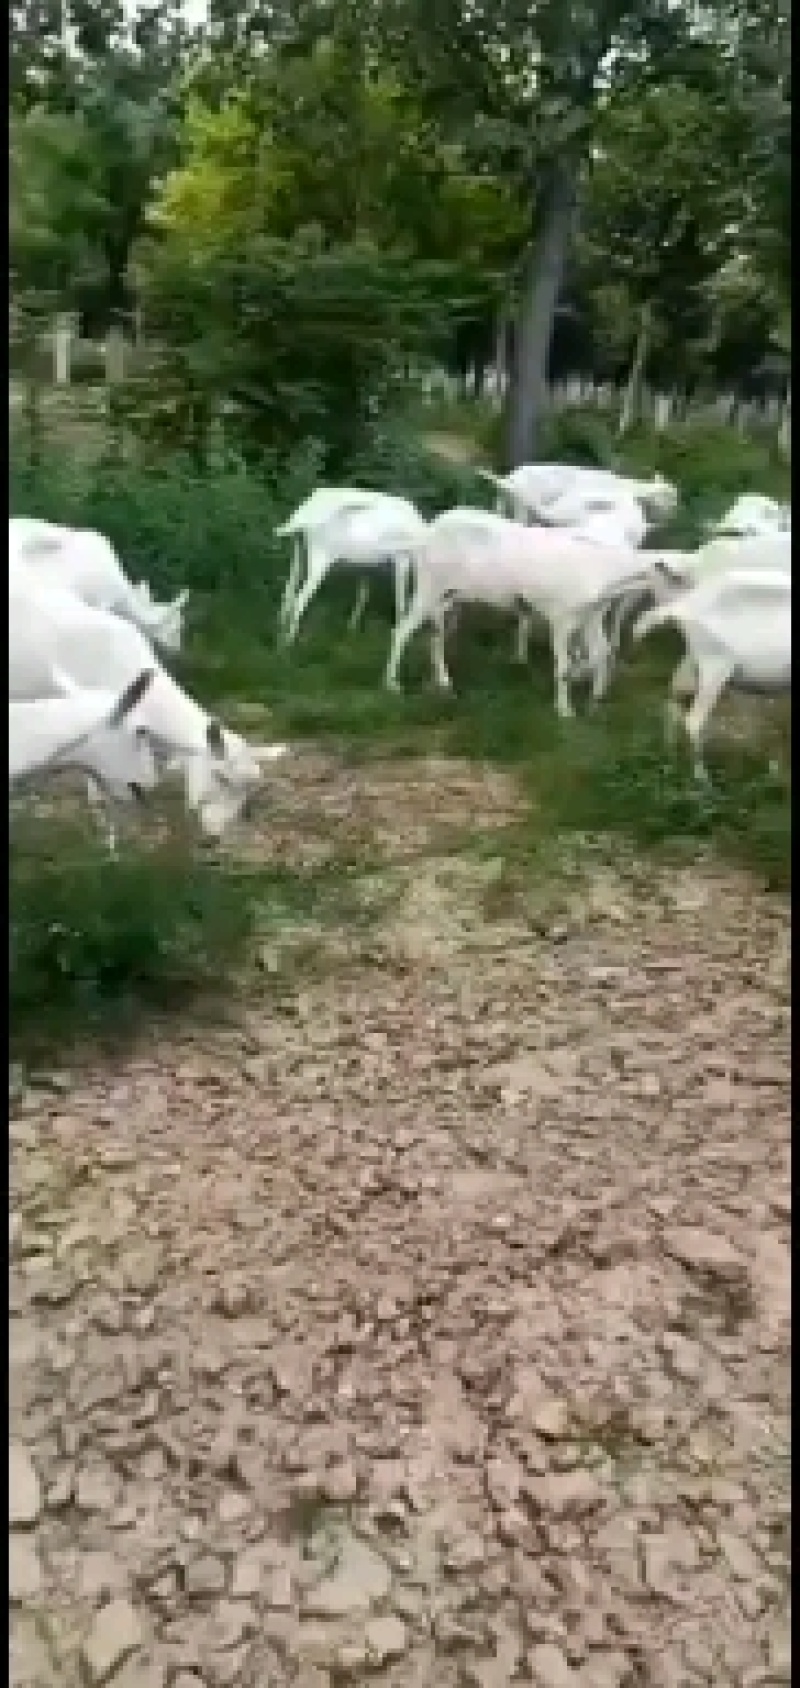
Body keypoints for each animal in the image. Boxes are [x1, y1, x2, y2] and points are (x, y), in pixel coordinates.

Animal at [381, 503, 661, 708]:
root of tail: (428, 531)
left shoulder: (591, 616)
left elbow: (599, 652)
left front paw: (595, 698)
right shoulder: (562, 619)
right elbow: (564, 664)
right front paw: (565, 710)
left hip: (449, 596)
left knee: (436, 635)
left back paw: (444, 682)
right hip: (430, 585)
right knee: (402, 630)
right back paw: (393, 685)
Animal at [631, 567, 793, 776]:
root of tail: (683, 604)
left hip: (693, 663)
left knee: (673, 701)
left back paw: (670, 758)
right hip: (715, 665)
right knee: (694, 720)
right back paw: (702, 779)